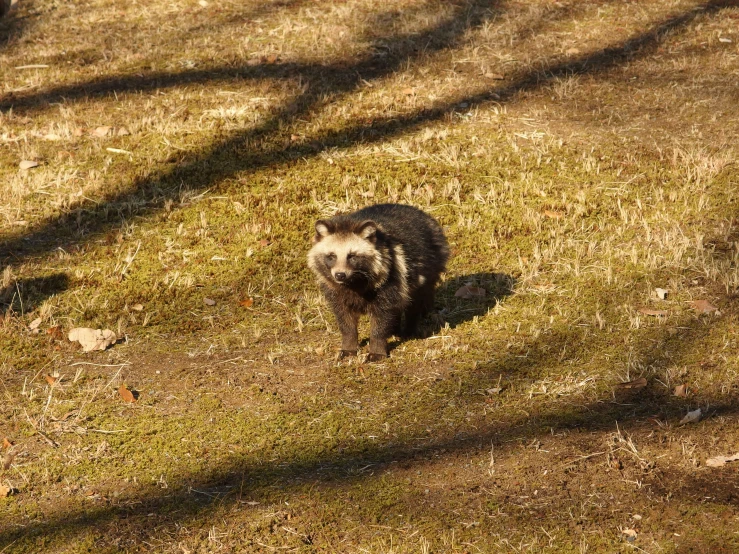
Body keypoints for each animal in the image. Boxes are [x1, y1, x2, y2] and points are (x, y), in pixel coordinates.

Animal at [308, 203, 448, 362]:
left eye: (352, 256)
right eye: (331, 256)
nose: (340, 275)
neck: (353, 281)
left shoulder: (389, 276)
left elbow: (382, 317)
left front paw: (377, 349)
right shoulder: (336, 292)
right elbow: (345, 319)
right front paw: (349, 346)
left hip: (428, 268)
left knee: (414, 301)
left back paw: (409, 329)